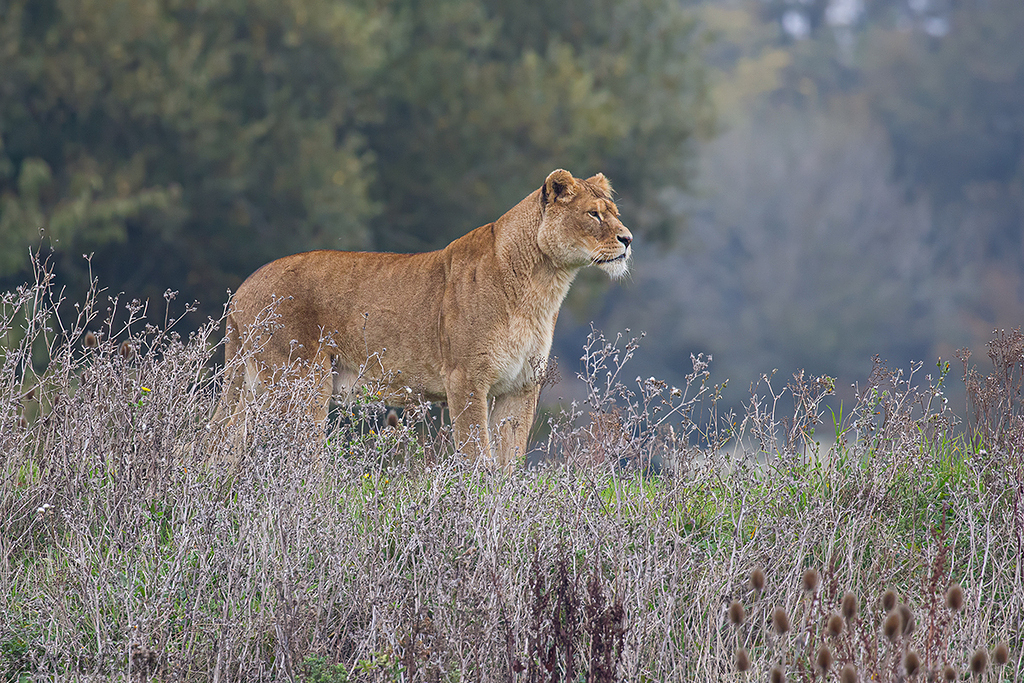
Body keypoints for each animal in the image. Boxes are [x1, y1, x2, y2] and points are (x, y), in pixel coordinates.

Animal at [212, 169, 632, 467]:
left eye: (615, 214)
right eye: (594, 215)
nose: (628, 239)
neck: (544, 284)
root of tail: (243, 288)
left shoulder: (520, 386)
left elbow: (508, 461)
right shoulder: (465, 380)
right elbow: (477, 456)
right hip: (302, 384)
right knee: (292, 459)